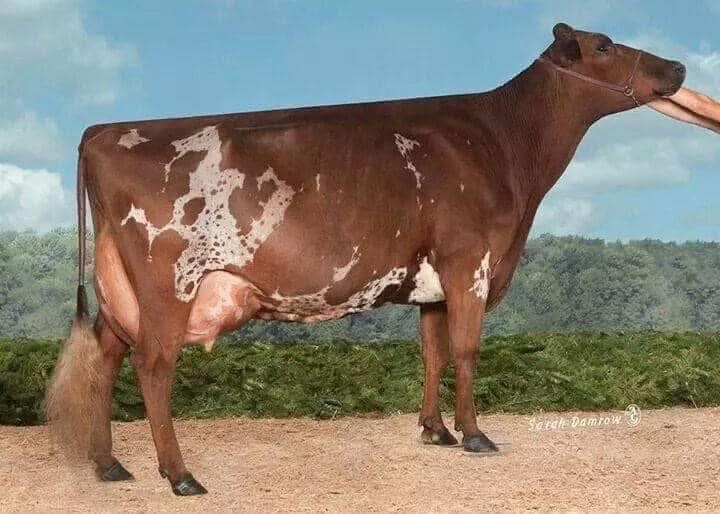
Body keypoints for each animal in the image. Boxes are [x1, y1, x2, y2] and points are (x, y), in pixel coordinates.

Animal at [46, 23, 685, 496]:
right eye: (604, 46)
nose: (678, 68)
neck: (504, 144)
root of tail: (103, 130)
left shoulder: (432, 282)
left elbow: (432, 352)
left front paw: (435, 431)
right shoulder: (469, 263)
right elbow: (466, 351)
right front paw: (475, 435)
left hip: (120, 288)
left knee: (105, 356)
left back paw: (108, 465)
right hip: (168, 281)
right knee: (153, 364)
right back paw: (180, 476)